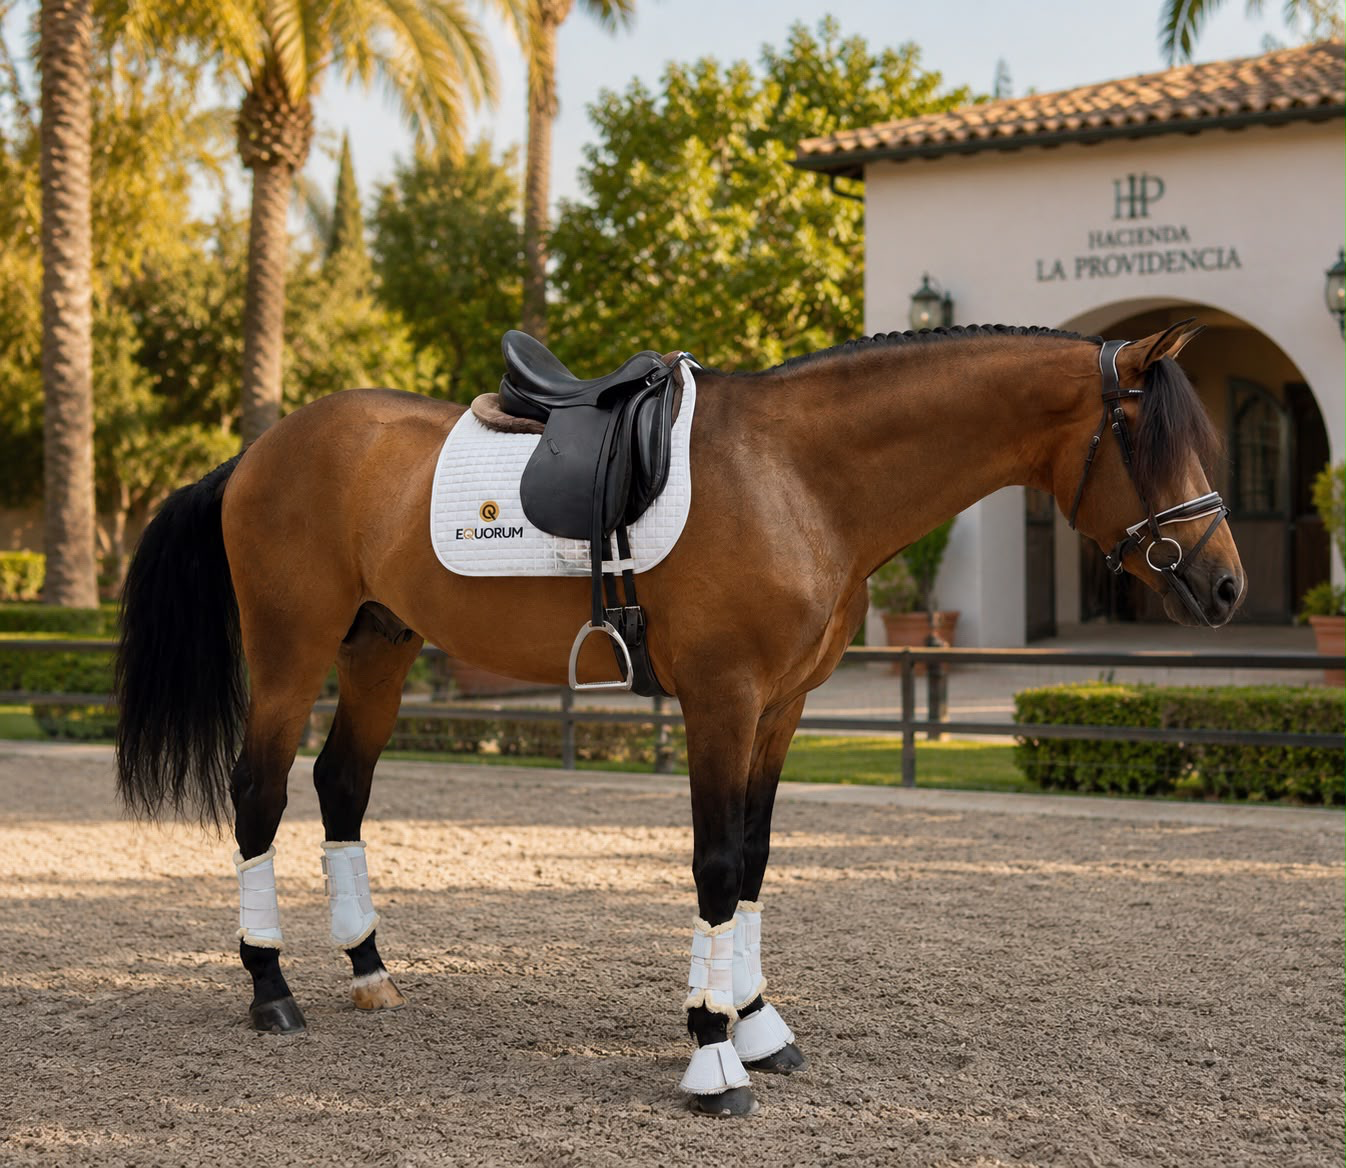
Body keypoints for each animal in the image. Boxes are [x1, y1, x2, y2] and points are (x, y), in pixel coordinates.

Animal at [114, 320, 1244, 1117]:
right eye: (1149, 441)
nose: (1226, 586)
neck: (802, 478)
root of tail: (261, 451)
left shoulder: (782, 706)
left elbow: (754, 859)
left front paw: (758, 1026)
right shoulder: (722, 699)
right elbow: (713, 863)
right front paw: (710, 1054)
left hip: (379, 646)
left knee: (340, 786)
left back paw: (369, 970)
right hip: (290, 650)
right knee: (257, 795)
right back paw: (270, 988)